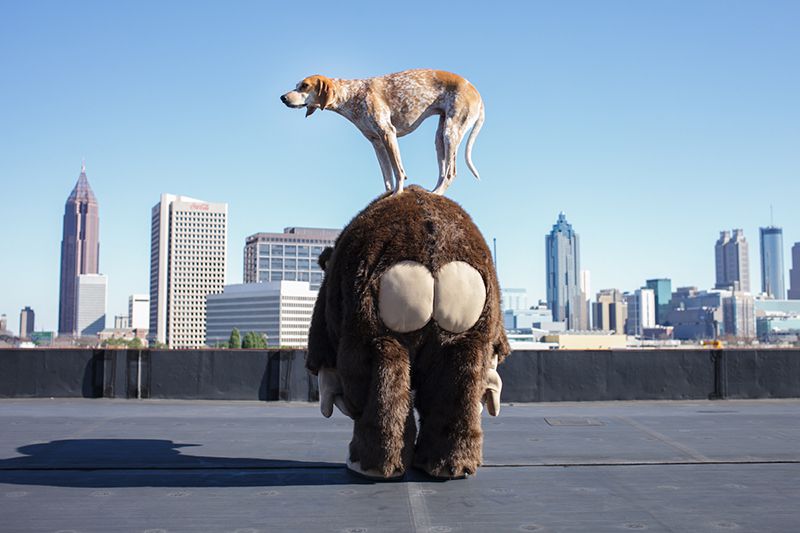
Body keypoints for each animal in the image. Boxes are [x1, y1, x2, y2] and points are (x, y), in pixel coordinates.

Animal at [278, 69, 484, 195]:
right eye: (296, 85)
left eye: (304, 86)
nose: (282, 97)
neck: (352, 94)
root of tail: (477, 94)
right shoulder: (376, 142)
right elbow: (387, 176)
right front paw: (387, 195)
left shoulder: (388, 133)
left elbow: (398, 172)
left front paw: (398, 194)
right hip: (440, 138)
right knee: (443, 172)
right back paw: (432, 191)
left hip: (451, 132)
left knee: (451, 173)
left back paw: (436, 194)